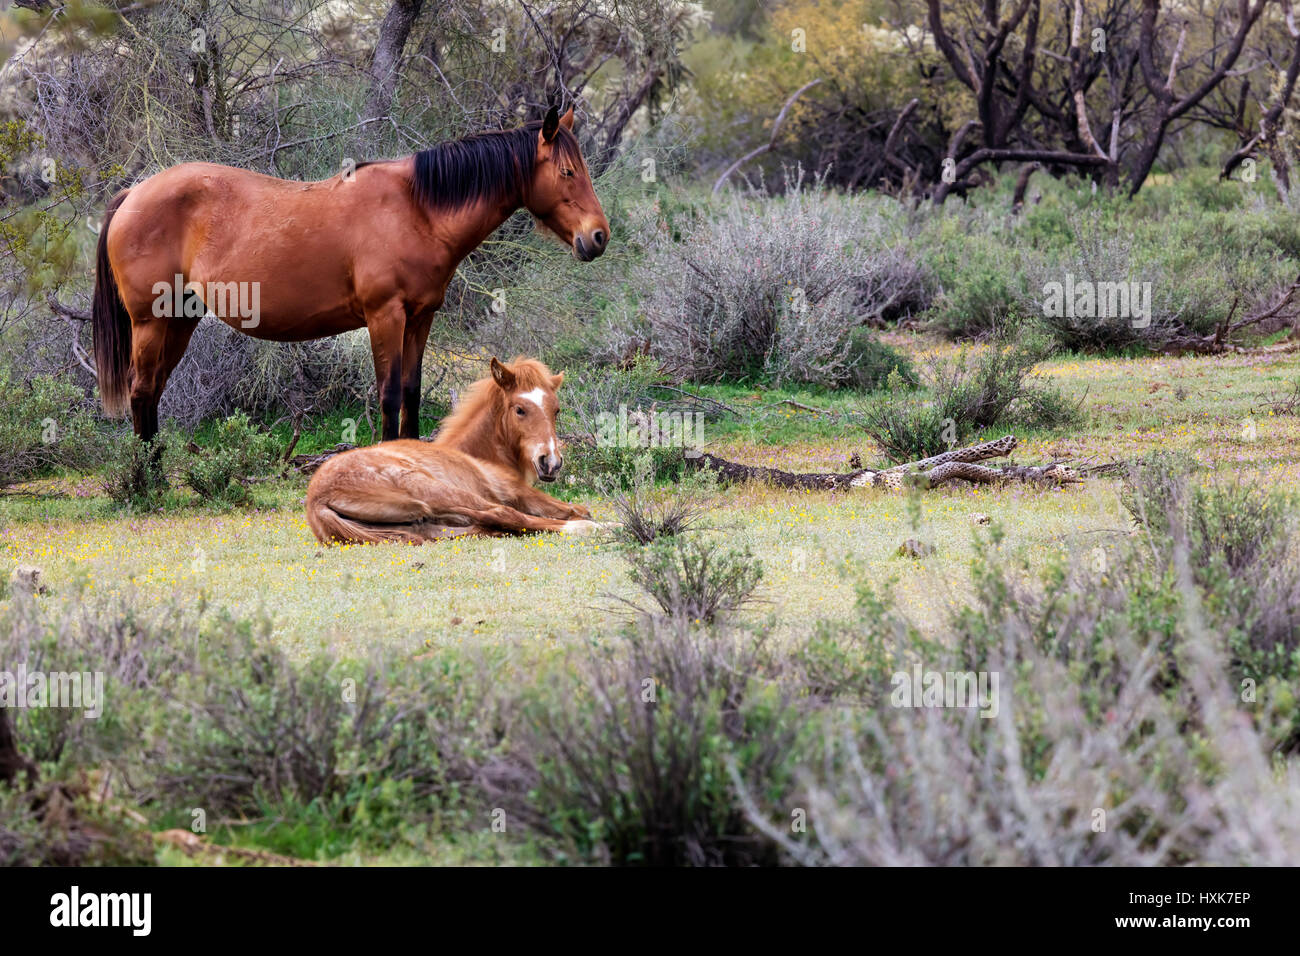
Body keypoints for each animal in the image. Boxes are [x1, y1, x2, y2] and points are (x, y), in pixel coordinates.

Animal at [91, 106, 608, 442]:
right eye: (567, 172)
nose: (598, 237)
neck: (416, 209)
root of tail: (133, 194)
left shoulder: (420, 318)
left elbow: (412, 393)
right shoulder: (385, 317)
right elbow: (390, 395)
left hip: (179, 321)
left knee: (152, 391)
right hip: (151, 322)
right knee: (141, 391)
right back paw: (147, 484)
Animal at [304, 356, 595, 546]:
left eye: (556, 410)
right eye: (520, 409)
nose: (551, 462)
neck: (479, 453)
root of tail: (317, 499)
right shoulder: (517, 493)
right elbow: (576, 509)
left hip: (424, 524)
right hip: (434, 491)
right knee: (501, 514)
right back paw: (592, 528)